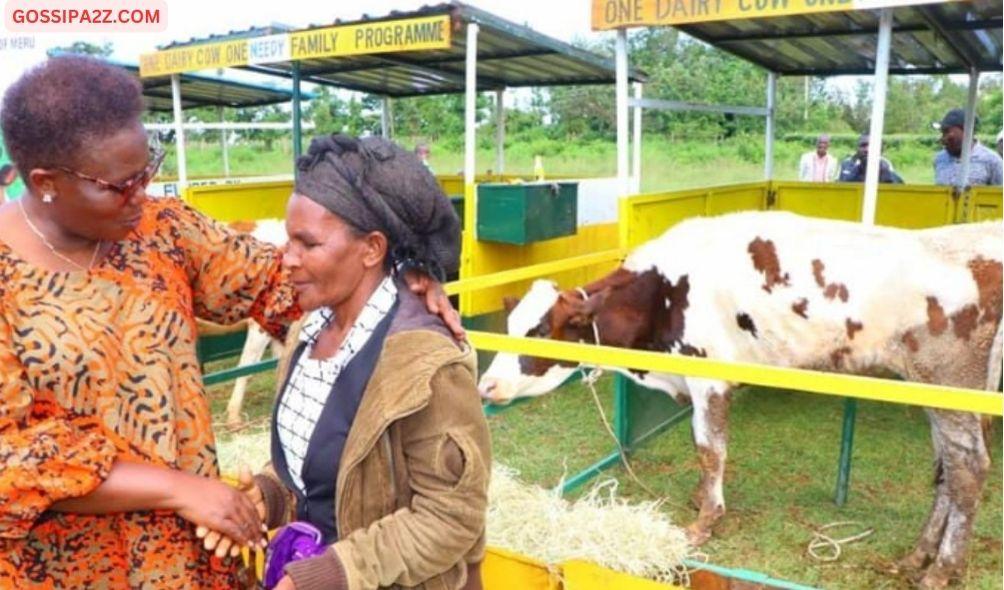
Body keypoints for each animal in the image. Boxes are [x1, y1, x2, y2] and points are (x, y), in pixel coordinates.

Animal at [481, 209, 999, 585]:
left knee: (969, 469)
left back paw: (941, 570)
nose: (486, 385)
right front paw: (699, 499)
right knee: (947, 470)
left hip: (952, 387)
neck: (664, 293)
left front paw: (704, 521)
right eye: (510, 324)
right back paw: (918, 556)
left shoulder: (709, 379)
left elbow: (709, 450)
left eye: (539, 330)